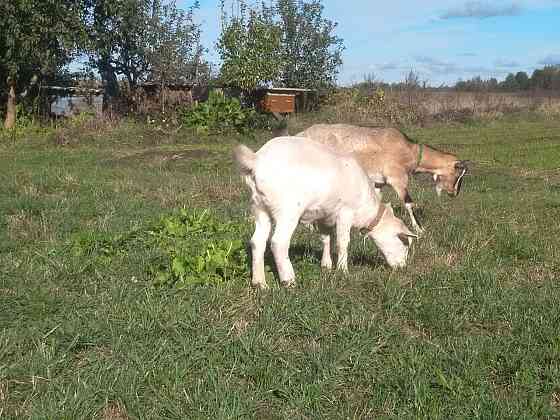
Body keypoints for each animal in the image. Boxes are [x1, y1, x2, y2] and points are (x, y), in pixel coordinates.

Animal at [233, 137, 416, 288]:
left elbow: (326, 238)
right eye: (404, 243)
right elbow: (343, 242)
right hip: (288, 210)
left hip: (259, 207)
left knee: (257, 242)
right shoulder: (345, 212)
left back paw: (260, 283)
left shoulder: (324, 216)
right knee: (278, 242)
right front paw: (342, 270)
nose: (403, 268)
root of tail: (257, 161)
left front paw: (326, 266)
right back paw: (289, 281)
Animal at [298, 124, 468, 233]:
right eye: (458, 175)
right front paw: (419, 229)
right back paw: (310, 226)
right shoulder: (397, 179)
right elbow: (409, 203)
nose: (454, 193)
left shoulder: (379, 183)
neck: (409, 151)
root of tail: (300, 134)